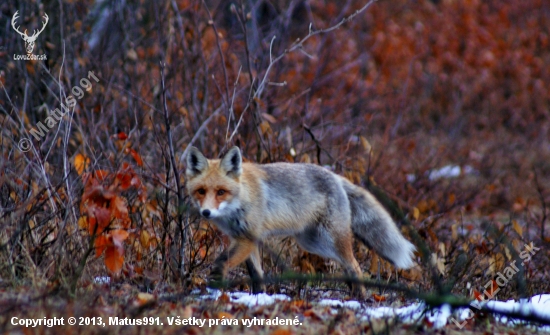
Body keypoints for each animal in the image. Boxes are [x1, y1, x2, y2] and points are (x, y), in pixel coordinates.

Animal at [188, 147, 416, 296]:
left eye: (221, 192)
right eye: (201, 191)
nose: (206, 212)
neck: (242, 197)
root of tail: (335, 176)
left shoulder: (247, 237)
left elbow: (221, 262)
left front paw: (215, 286)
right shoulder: (244, 239)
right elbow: (257, 275)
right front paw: (258, 298)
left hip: (329, 240)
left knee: (354, 265)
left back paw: (359, 298)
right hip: (313, 243)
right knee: (347, 265)